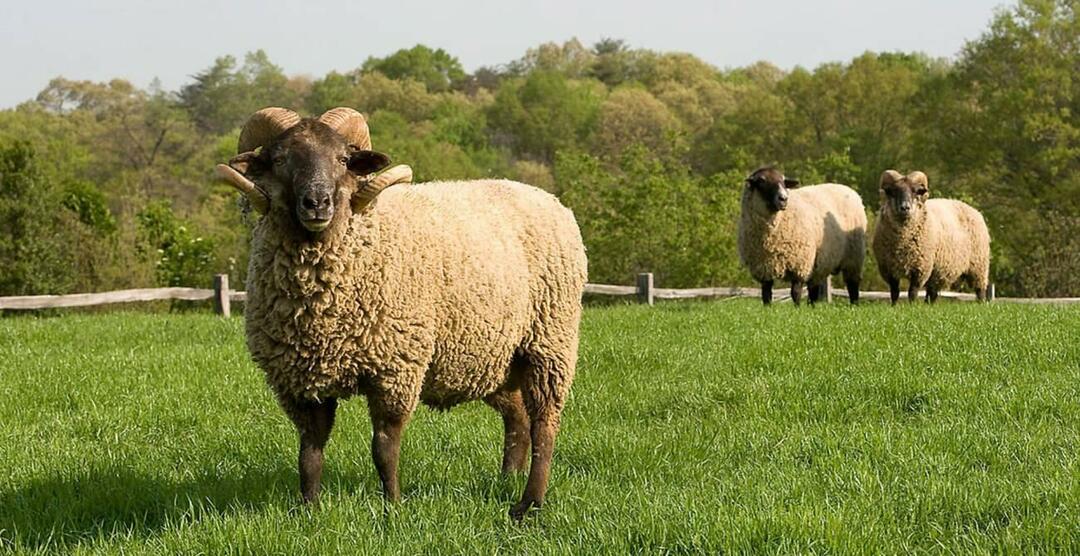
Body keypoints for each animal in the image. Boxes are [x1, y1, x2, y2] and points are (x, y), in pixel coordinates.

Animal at [734, 166, 868, 304]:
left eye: (783, 181)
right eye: (761, 181)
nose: (783, 198)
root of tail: (848, 189)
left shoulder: (799, 264)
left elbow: (796, 292)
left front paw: (797, 308)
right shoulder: (763, 269)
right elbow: (766, 295)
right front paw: (768, 308)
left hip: (853, 257)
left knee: (852, 285)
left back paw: (854, 304)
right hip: (819, 264)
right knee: (813, 289)